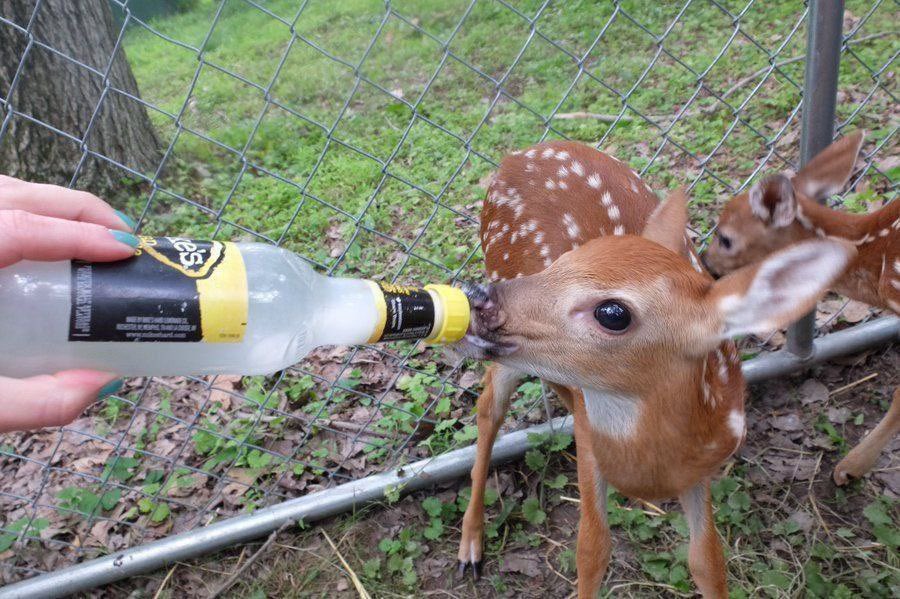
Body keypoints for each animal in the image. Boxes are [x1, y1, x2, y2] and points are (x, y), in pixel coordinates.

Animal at [453, 141, 854, 597]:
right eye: (560, 262)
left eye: (613, 313)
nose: (476, 299)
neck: (650, 467)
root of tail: (520, 153)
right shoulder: (588, 445)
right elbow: (592, 550)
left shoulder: (701, 468)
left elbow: (707, 560)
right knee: (488, 410)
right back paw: (470, 547)